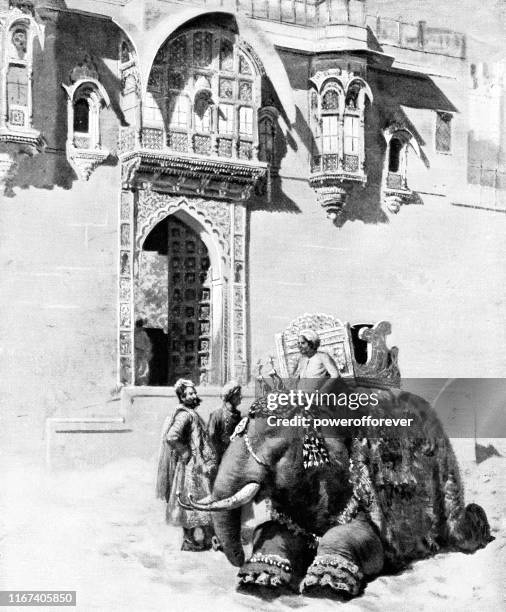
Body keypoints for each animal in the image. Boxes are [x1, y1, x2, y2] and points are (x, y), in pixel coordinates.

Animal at [178, 380, 490, 600]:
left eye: (272, 439)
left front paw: (325, 584)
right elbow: (274, 530)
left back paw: (476, 521)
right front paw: (257, 578)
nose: (236, 555)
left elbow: (364, 539)